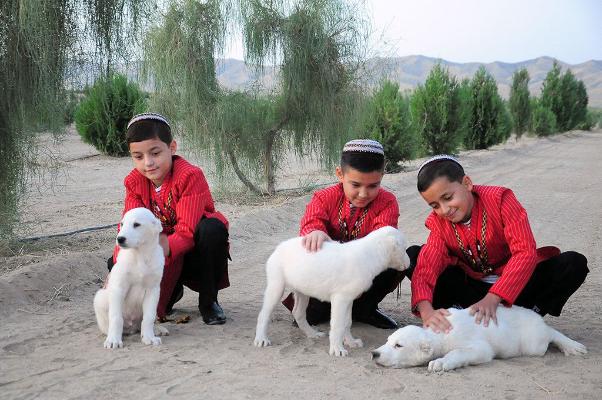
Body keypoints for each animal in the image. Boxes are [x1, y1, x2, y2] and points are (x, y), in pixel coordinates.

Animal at [92, 208, 165, 348]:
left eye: (136, 224)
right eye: (122, 224)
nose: (120, 239)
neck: (140, 255)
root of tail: (131, 328)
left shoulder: (153, 290)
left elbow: (149, 317)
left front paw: (149, 337)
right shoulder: (118, 288)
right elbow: (116, 317)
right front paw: (113, 340)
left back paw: (158, 329)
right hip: (100, 298)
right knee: (109, 325)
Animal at [251, 227, 410, 358]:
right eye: (403, 248)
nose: (410, 265)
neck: (370, 254)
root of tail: (279, 247)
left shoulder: (349, 299)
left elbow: (347, 322)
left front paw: (350, 342)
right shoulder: (340, 299)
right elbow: (338, 325)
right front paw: (337, 349)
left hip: (302, 290)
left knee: (298, 313)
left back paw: (312, 333)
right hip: (276, 286)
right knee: (263, 315)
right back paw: (261, 339)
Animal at [370, 306, 584, 372]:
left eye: (399, 345)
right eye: (387, 341)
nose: (374, 353)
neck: (441, 334)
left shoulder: (479, 345)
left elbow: (463, 351)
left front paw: (440, 363)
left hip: (533, 343)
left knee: (549, 334)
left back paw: (568, 344)